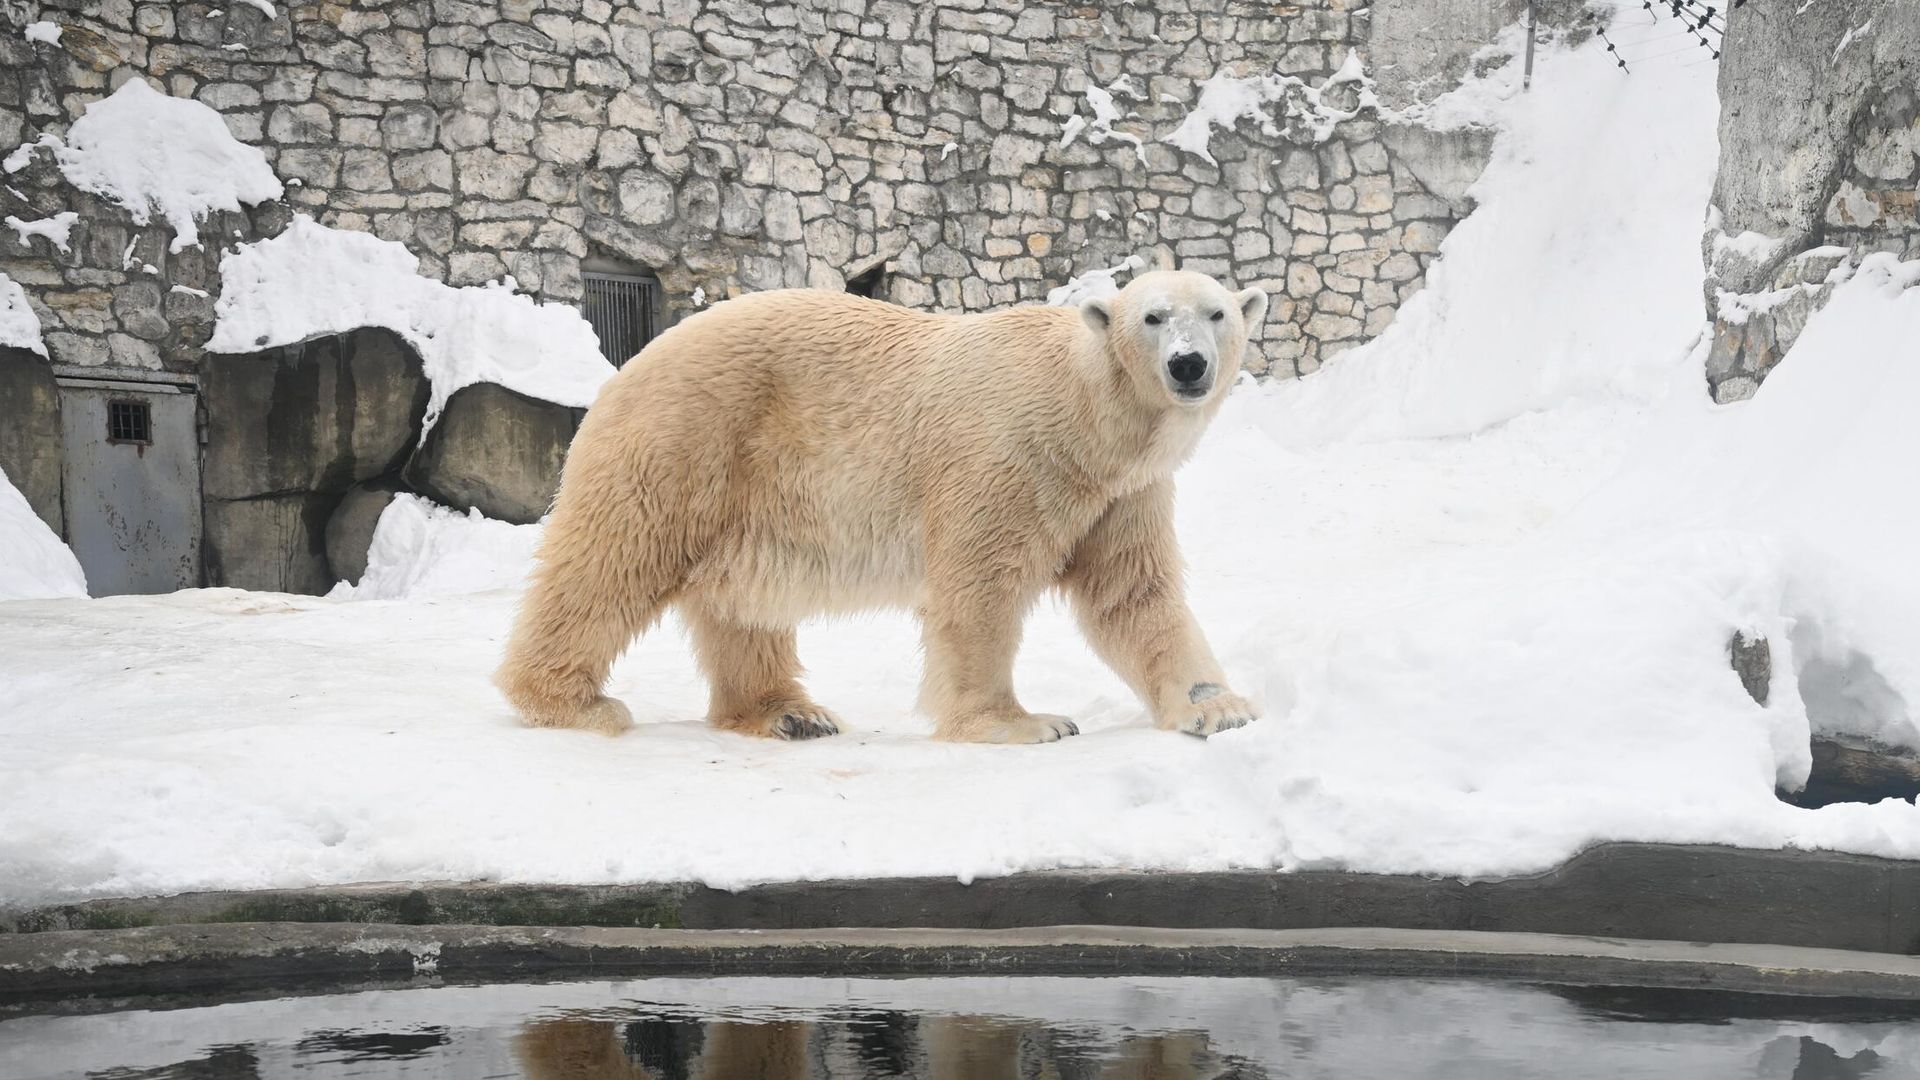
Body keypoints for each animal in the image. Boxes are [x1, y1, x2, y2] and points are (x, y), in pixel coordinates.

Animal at [495, 269, 1267, 744]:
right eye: (1153, 317)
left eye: (1218, 312)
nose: (1188, 364)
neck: (1084, 417)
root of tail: (632, 361)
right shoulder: (1009, 454)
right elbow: (980, 586)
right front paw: (1022, 723)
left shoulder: (1120, 492)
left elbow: (1133, 595)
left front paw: (1219, 706)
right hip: (688, 437)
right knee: (614, 557)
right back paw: (572, 702)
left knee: (739, 600)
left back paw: (790, 714)